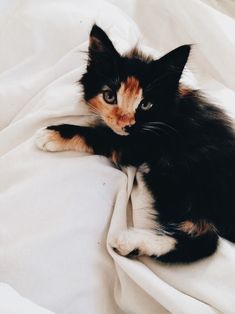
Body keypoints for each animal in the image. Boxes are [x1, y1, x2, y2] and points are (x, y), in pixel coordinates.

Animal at [35, 24, 235, 264]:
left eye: (146, 104)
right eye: (109, 96)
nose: (125, 124)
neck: (166, 115)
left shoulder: (138, 144)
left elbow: (99, 135)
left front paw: (53, 135)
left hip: (174, 171)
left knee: (205, 240)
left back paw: (129, 242)